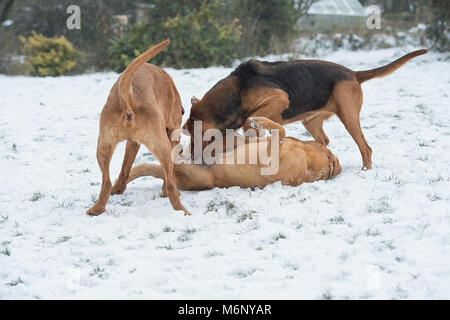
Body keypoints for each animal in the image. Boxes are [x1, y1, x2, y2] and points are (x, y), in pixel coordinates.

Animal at [86, 39, 190, 215]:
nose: (183, 111)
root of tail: (129, 96)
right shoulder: (173, 138)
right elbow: (170, 174)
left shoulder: (132, 143)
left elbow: (125, 169)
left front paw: (118, 189)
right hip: (162, 146)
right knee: (170, 184)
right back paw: (182, 211)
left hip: (103, 147)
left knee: (106, 182)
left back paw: (96, 209)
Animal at [128, 117, 342, 191]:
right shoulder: (255, 142)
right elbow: (276, 131)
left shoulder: (270, 158)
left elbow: (280, 130)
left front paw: (259, 120)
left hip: (197, 175)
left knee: (163, 163)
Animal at [184, 49, 428, 170]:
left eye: (196, 136)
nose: (192, 158)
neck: (237, 88)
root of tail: (353, 73)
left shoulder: (280, 99)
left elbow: (252, 116)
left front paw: (258, 123)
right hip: (311, 121)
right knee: (325, 141)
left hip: (348, 116)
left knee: (366, 148)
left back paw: (365, 171)